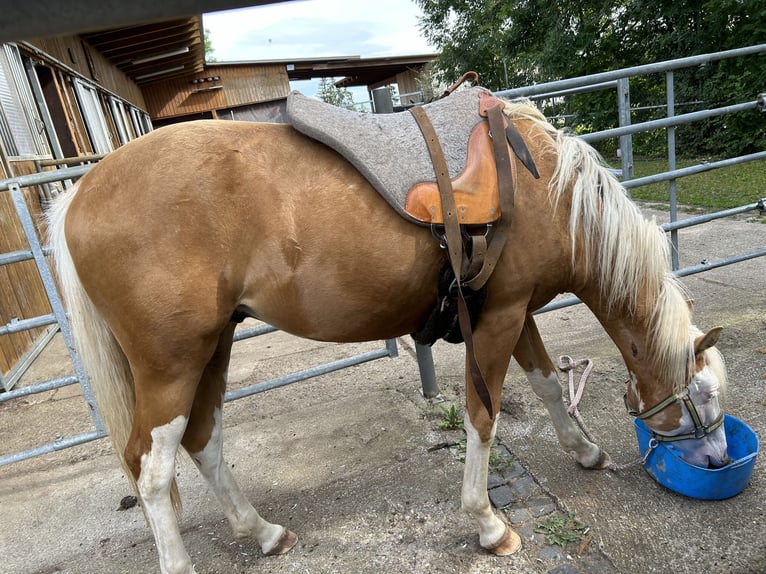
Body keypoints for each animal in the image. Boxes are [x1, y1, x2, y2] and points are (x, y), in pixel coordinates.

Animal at [48, 94, 732, 574]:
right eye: (704, 399)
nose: (721, 462)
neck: (546, 189)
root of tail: (80, 192)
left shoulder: (514, 312)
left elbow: (541, 383)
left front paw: (584, 450)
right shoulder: (501, 318)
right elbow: (484, 413)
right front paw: (487, 522)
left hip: (211, 349)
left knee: (202, 439)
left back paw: (263, 531)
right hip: (171, 363)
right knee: (152, 471)